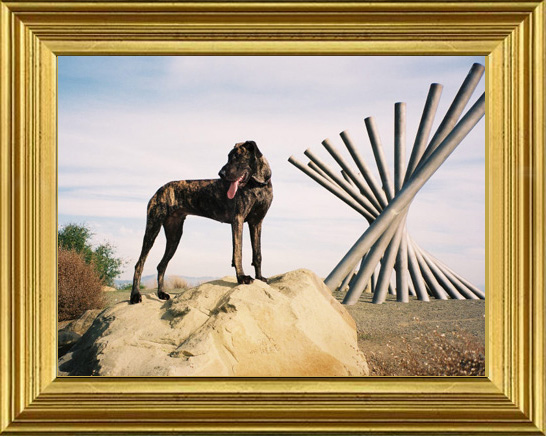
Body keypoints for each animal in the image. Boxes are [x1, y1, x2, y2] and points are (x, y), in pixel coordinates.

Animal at [129, 140, 274, 304]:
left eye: (237, 157)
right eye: (228, 157)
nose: (221, 174)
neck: (257, 184)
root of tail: (159, 190)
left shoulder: (256, 222)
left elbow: (257, 254)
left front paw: (260, 277)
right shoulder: (238, 219)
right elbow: (238, 251)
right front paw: (242, 277)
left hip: (174, 236)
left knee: (161, 265)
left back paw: (161, 293)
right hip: (153, 228)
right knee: (139, 264)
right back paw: (135, 295)